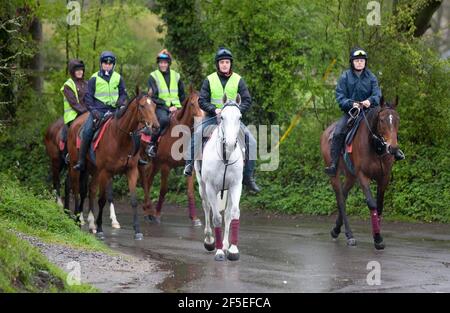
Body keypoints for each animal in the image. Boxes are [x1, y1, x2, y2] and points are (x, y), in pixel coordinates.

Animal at [67, 89, 158, 239]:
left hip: (94, 170)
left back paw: (90, 224)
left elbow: (133, 201)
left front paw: (137, 230)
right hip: (76, 168)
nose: (155, 126)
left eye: (155, 106)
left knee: (91, 190)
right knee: (77, 191)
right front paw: (100, 229)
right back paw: (78, 220)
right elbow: (102, 200)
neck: (120, 138)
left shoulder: (132, 171)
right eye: (142, 106)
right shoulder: (106, 172)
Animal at [140, 88, 205, 227]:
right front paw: (157, 215)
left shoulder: (189, 166)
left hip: (155, 164)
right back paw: (149, 211)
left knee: (148, 181)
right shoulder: (166, 166)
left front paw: (194, 218)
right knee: (145, 181)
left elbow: (190, 192)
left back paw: (147, 210)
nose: (202, 120)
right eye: (192, 103)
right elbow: (163, 190)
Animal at [194, 93, 244, 260]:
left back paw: (226, 244)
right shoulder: (211, 187)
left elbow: (233, 213)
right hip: (202, 186)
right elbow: (216, 217)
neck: (225, 156)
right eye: (222, 117)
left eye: (240, 117)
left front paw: (232, 249)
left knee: (227, 214)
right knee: (206, 206)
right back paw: (210, 240)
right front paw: (219, 251)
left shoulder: (236, 185)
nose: (230, 143)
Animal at [320, 96, 400, 250]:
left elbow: (379, 206)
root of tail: (327, 132)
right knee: (340, 199)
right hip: (335, 175)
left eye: (397, 120)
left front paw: (377, 236)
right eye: (382, 120)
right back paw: (349, 235)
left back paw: (336, 230)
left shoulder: (384, 178)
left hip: (351, 176)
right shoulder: (363, 176)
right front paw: (378, 238)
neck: (376, 147)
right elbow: (372, 204)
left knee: (344, 195)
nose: (393, 148)